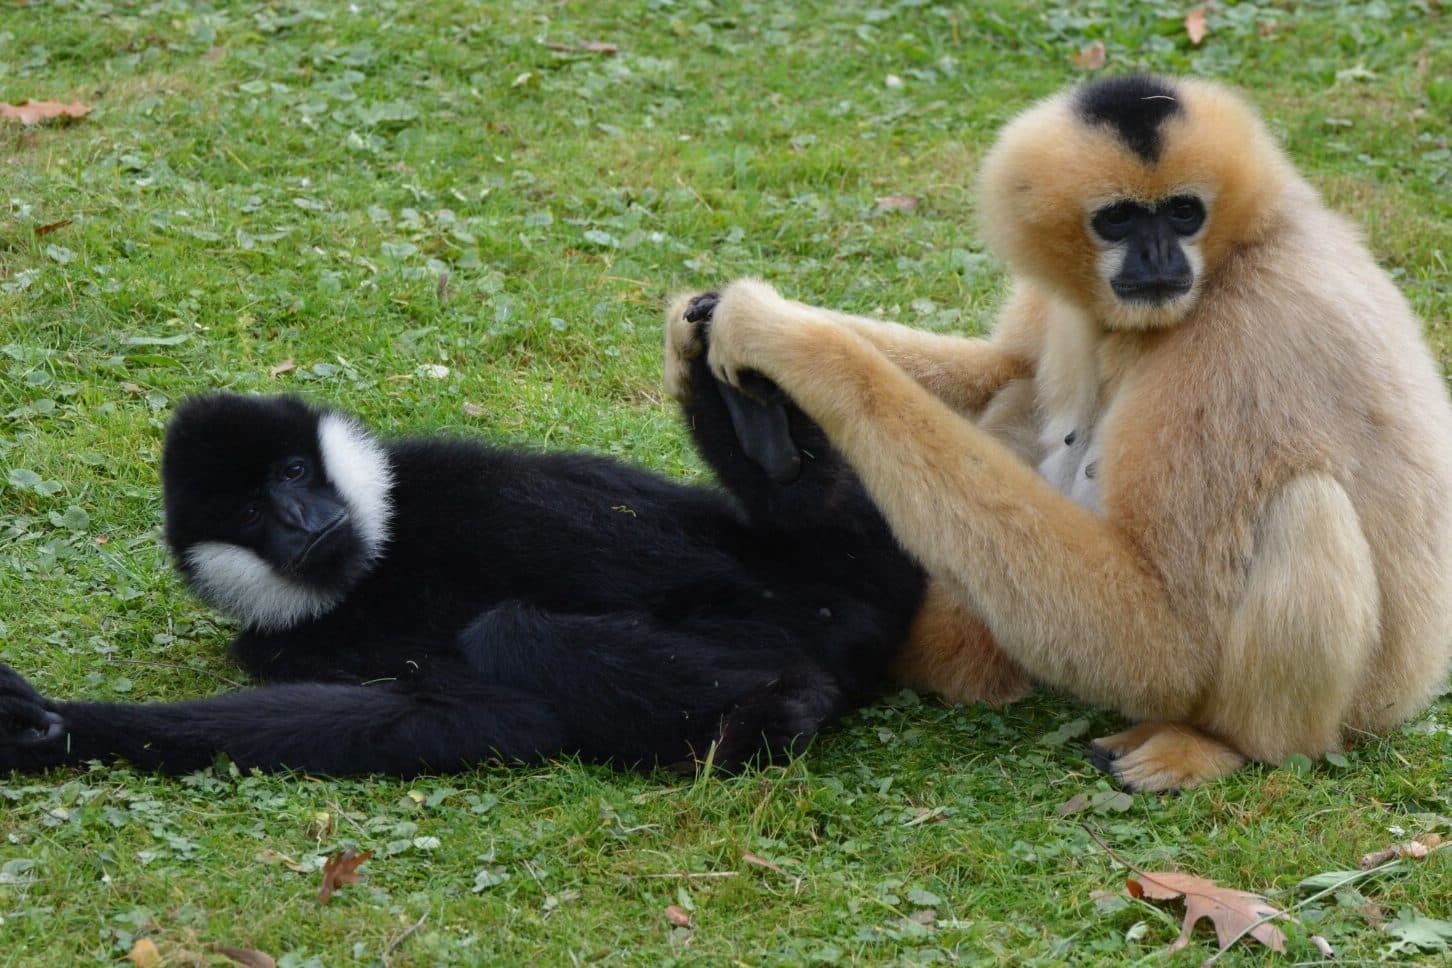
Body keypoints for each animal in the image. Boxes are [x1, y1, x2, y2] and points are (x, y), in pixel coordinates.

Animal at [0, 349, 924, 778]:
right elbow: (474, 714)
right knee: (513, 635)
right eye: (253, 515)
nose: (301, 519)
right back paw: (778, 706)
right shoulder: (290, 643)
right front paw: (54, 727)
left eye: (291, 473)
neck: (380, 563)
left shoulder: (445, 471)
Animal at [666, 74, 1452, 791]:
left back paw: (1221, 746)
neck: (1239, 251)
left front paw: (789, 338)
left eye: (1185, 212)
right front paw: (701, 335)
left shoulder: (1249, 339)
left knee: (1303, 506)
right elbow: (1001, 367)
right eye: (1119, 220)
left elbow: (1170, 633)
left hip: (1353, 710)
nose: (1160, 259)